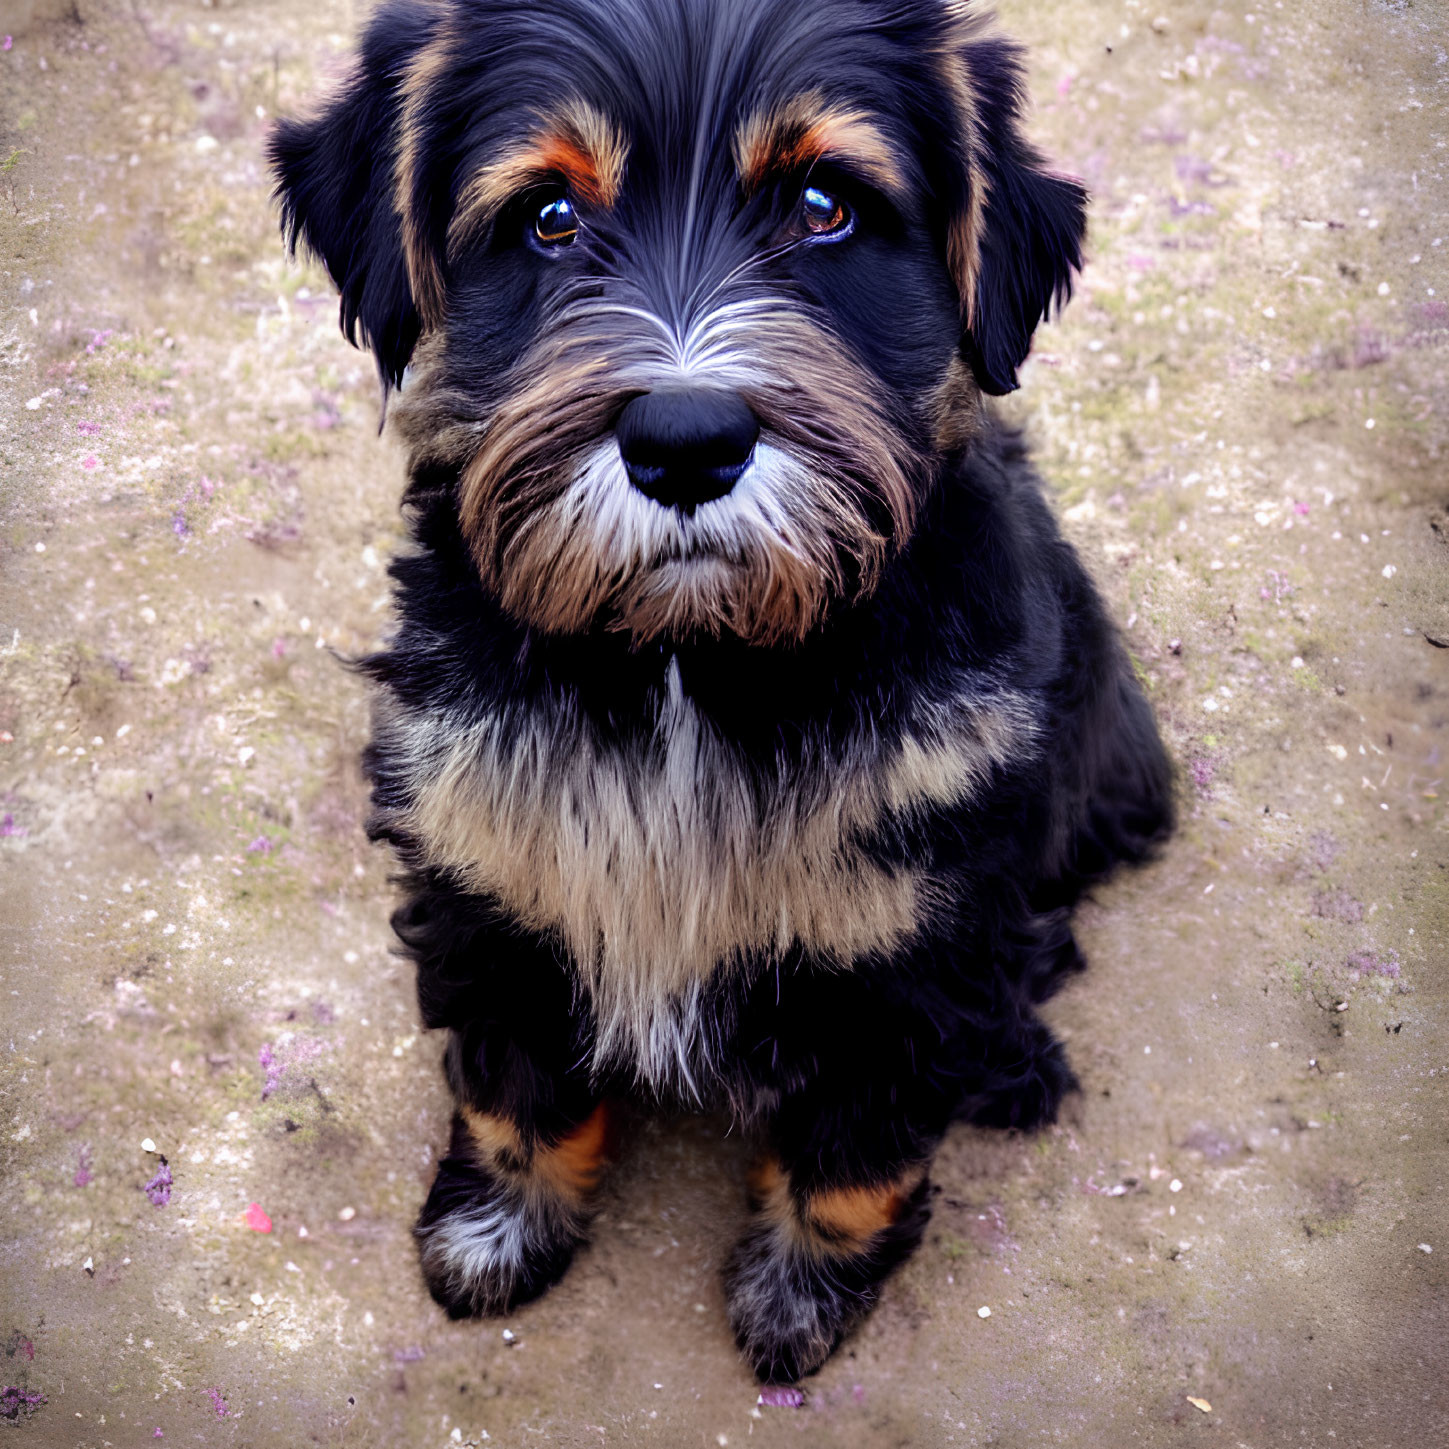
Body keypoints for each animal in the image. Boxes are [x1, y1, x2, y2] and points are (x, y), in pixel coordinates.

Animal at [273, 0, 1176, 1385]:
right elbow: (510, 1080)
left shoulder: (910, 941)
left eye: (825, 204)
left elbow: (859, 1140)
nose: (686, 440)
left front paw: (804, 1287)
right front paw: (498, 1225)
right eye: (547, 216)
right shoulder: (490, 863)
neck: (685, 665)